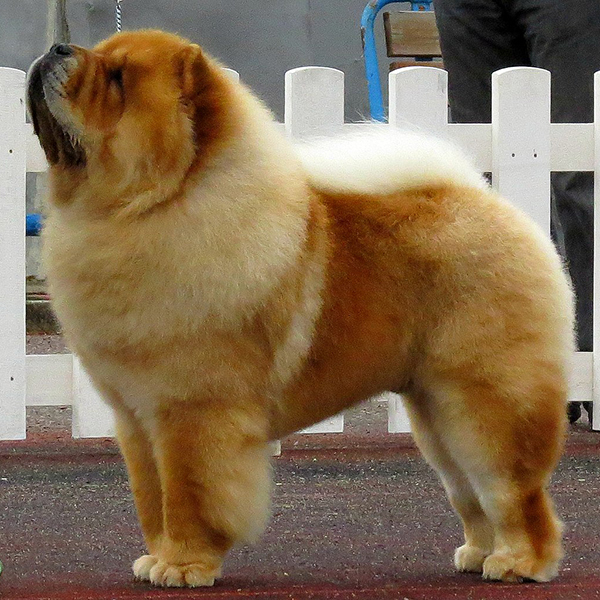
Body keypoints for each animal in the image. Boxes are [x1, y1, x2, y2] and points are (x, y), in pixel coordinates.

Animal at [25, 29, 576, 584]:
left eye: (117, 79)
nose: (55, 49)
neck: (143, 210)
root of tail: (482, 200)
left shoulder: (190, 412)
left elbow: (187, 497)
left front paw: (183, 567)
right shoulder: (136, 419)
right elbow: (151, 498)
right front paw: (156, 559)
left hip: (484, 402)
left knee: (515, 492)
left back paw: (520, 563)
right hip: (436, 413)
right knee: (469, 492)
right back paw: (477, 555)